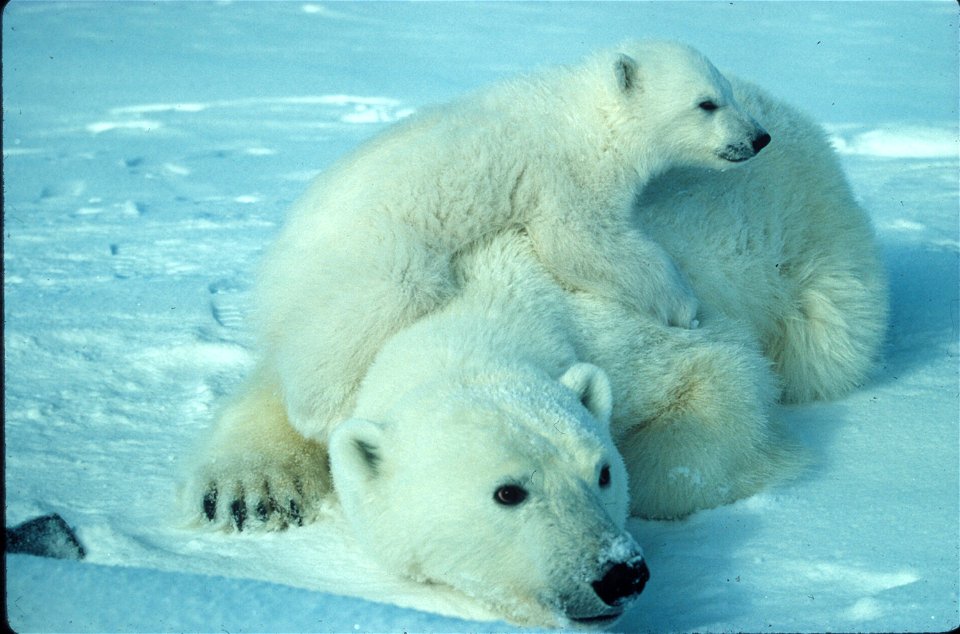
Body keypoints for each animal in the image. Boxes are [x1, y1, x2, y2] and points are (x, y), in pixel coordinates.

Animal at [251, 42, 768, 442]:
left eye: (727, 92)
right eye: (706, 103)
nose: (759, 137)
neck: (586, 115)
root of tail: (274, 269)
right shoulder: (566, 172)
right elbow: (580, 242)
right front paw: (684, 306)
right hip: (373, 255)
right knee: (366, 314)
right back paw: (327, 413)